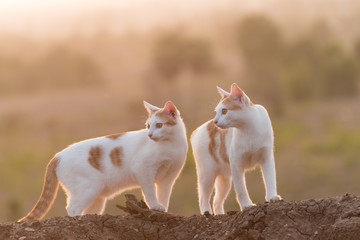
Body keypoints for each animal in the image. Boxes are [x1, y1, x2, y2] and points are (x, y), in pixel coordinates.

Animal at [19, 100, 188, 221]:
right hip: (89, 188)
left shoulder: (168, 177)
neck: (171, 145)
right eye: (148, 126)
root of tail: (57, 155)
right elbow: (150, 193)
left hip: (97, 198)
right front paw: (154, 206)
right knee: (72, 207)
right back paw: (79, 219)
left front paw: (162, 209)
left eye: (159, 125)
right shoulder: (144, 171)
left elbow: (164, 195)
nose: (150, 135)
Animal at [191, 83, 282, 215]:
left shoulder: (267, 158)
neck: (249, 130)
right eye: (216, 112)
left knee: (216, 201)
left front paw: (272, 197)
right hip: (207, 174)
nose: (215, 121)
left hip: (225, 179)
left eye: (224, 111)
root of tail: (196, 130)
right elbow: (241, 189)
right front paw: (247, 205)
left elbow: (270, 179)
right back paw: (207, 214)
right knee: (203, 198)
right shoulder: (236, 164)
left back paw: (220, 215)